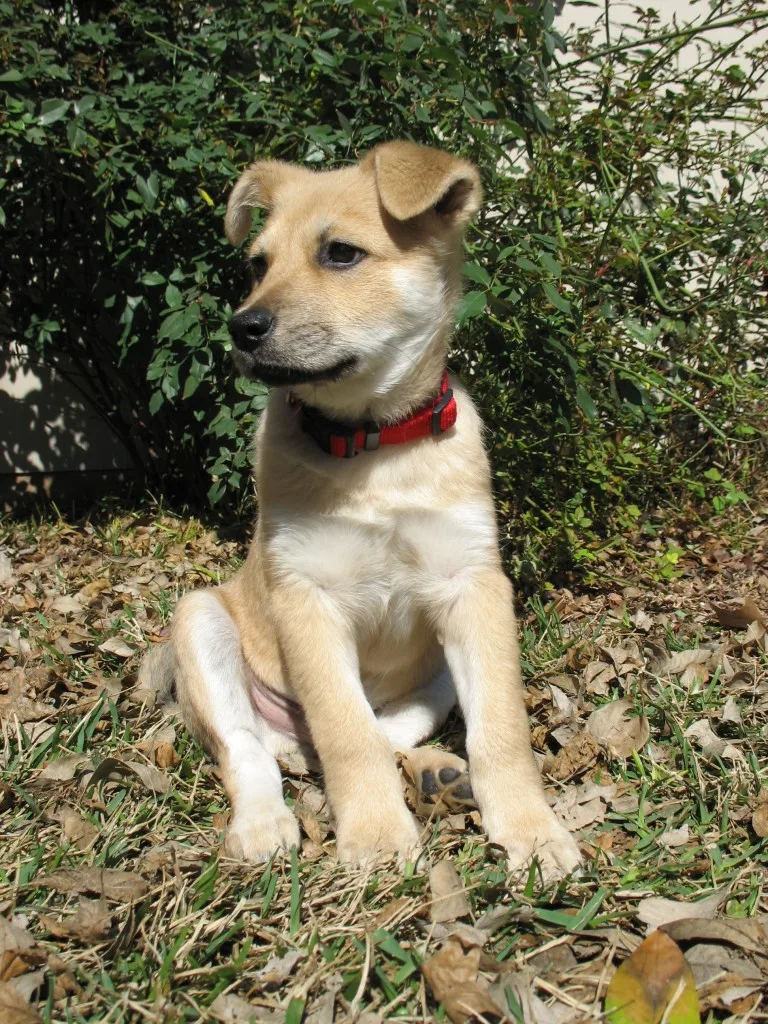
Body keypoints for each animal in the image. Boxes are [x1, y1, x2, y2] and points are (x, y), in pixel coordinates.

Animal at [141, 140, 581, 880]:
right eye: (258, 264)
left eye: (341, 254)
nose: (242, 327)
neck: (374, 448)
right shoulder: (307, 598)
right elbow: (345, 735)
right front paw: (376, 836)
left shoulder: (474, 588)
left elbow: (500, 729)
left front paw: (532, 830)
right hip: (200, 621)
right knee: (249, 749)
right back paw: (264, 821)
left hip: (437, 670)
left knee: (391, 725)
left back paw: (438, 774)